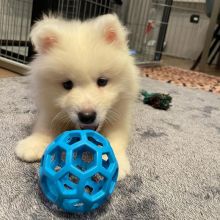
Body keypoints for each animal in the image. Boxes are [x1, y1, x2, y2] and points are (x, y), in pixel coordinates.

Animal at [15, 13, 139, 180]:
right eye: (67, 84)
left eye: (102, 81)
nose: (87, 116)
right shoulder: (50, 109)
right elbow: (45, 126)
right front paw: (33, 144)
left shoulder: (120, 116)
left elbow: (116, 137)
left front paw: (116, 162)